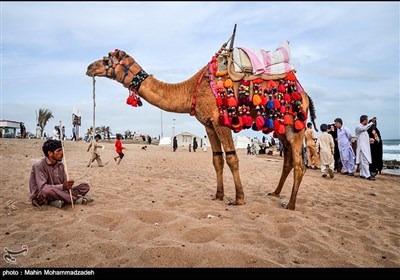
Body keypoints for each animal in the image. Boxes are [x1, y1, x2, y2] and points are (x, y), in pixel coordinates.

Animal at [86, 45, 318, 210]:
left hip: (295, 123)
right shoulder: (208, 125)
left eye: (106, 60)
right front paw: (218, 195)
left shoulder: (220, 121)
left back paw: (290, 204)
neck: (191, 89)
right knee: (288, 160)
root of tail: (306, 94)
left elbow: (232, 158)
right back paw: (275, 193)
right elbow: (217, 160)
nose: (89, 67)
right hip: (282, 127)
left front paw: (239, 199)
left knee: (299, 163)